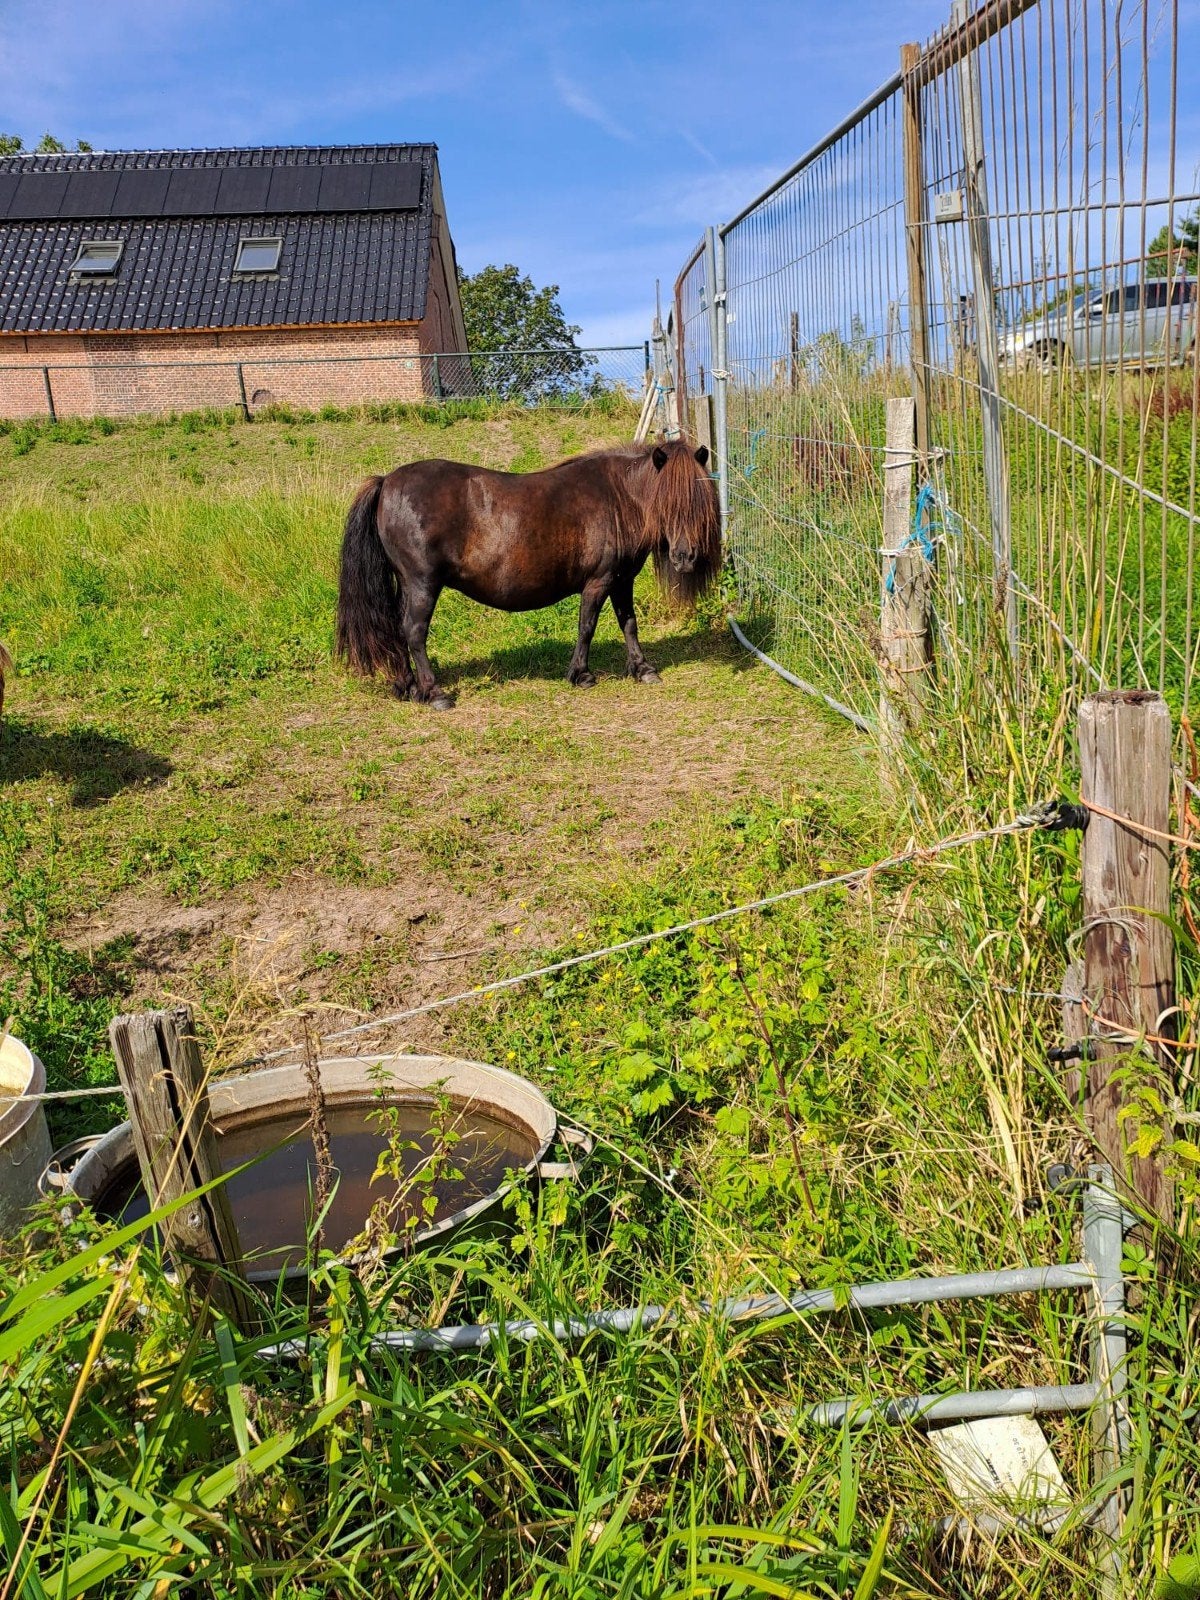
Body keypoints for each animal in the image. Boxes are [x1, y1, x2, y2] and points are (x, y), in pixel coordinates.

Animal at [334, 438, 721, 709]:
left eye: (700, 499)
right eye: (668, 499)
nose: (686, 557)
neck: (619, 497)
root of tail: (387, 481)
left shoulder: (622, 580)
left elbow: (629, 624)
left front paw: (643, 669)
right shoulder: (599, 581)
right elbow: (587, 626)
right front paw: (581, 674)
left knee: (397, 629)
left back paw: (407, 686)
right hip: (422, 584)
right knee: (413, 632)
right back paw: (434, 692)